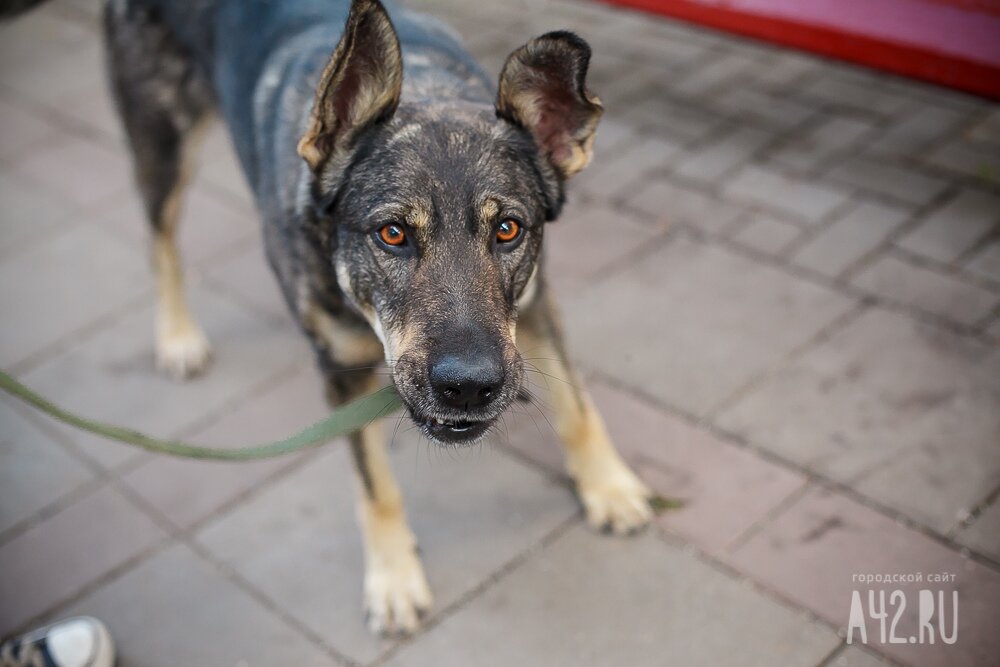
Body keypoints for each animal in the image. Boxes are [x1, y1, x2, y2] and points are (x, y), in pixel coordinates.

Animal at [41, 0, 656, 636]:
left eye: (508, 229)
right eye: (393, 233)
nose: (469, 388)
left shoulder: (533, 306)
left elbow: (579, 406)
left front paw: (608, 486)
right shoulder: (339, 370)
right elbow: (376, 487)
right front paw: (393, 579)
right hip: (163, 148)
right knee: (160, 244)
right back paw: (178, 336)